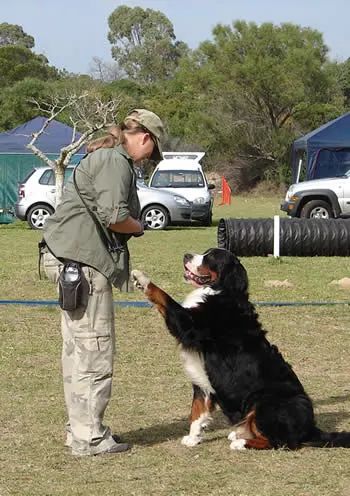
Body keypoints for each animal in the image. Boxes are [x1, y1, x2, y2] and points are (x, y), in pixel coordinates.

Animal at [131, 248, 350, 450]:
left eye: (211, 257)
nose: (186, 255)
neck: (221, 293)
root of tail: (310, 427)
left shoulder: (189, 325)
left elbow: (164, 297)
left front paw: (142, 278)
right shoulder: (202, 380)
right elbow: (197, 411)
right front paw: (193, 438)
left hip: (265, 403)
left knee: (280, 442)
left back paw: (241, 442)